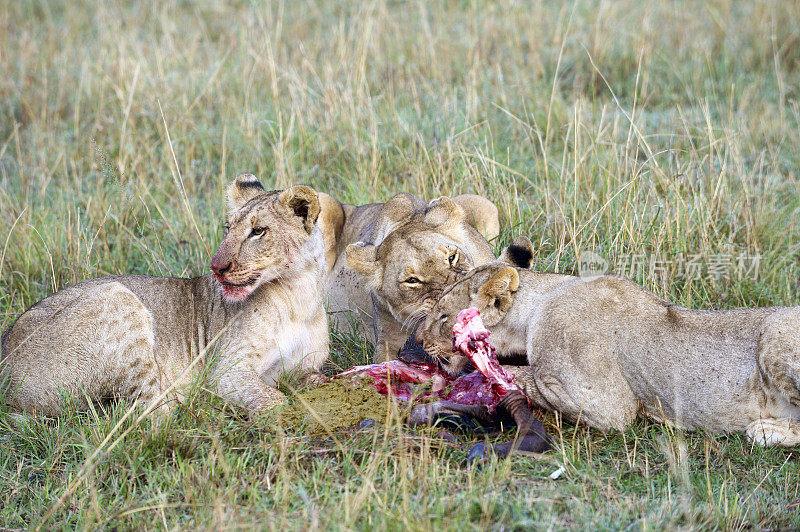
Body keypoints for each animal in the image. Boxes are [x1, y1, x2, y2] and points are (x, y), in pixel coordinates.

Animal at [0, 175, 328, 416]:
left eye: (258, 231)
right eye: (228, 229)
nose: (217, 267)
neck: (299, 297)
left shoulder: (300, 367)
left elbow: (309, 380)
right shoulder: (226, 373)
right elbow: (276, 401)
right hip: (117, 297)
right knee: (151, 413)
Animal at [416, 244, 800, 444]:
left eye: (442, 317)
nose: (419, 341)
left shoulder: (609, 406)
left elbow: (524, 377)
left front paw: (485, 381)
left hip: (774, 334)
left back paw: (766, 430)